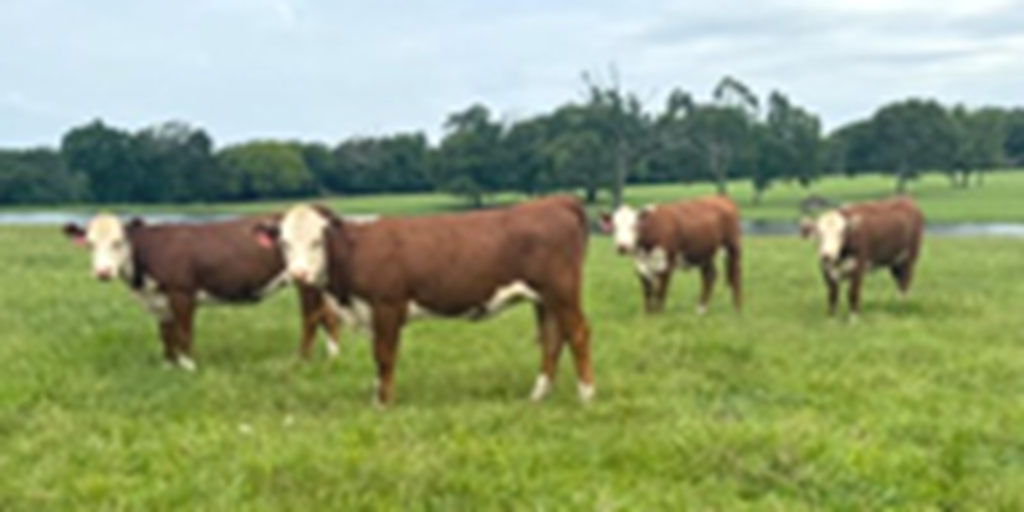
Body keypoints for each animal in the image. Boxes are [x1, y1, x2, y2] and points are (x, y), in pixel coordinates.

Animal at [64, 214, 339, 370]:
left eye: (118, 242)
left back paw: (301, 360)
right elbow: (166, 333)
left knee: (311, 316)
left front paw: (188, 366)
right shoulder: (158, 299)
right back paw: (333, 355)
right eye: (89, 243)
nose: (103, 272)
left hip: (305, 280)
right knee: (327, 315)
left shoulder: (182, 292)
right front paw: (168, 365)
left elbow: (184, 332)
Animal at [250, 196, 598, 407]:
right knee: (553, 338)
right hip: (544, 299)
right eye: (283, 242)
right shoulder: (373, 312)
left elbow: (385, 356)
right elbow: (378, 357)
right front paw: (377, 396)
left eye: (317, 241)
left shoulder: (388, 305)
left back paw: (586, 394)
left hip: (561, 292)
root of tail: (555, 201)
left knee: (578, 334)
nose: (298, 274)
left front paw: (383, 403)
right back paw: (537, 396)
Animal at [598, 195, 741, 315]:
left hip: (733, 246)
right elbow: (648, 292)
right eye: (614, 227)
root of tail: (720, 198)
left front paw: (659, 315)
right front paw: (647, 315)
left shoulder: (666, 265)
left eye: (634, 226)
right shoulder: (641, 266)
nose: (622, 247)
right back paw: (701, 310)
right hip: (705, 253)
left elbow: (660, 291)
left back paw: (737, 310)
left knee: (735, 276)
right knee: (709, 276)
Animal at [798, 194, 929, 317]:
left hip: (909, 258)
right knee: (898, 280)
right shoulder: (826, 270)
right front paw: (831, 318)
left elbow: (853, 293)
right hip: (894, 261)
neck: (839, 259)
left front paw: (853, 319)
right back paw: (897, 303)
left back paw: (902, 305)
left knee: (905, 281)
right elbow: (832, 294)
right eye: (819, 233)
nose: (826, 255)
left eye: (842, 233)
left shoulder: (858, 268)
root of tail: (905, 199)